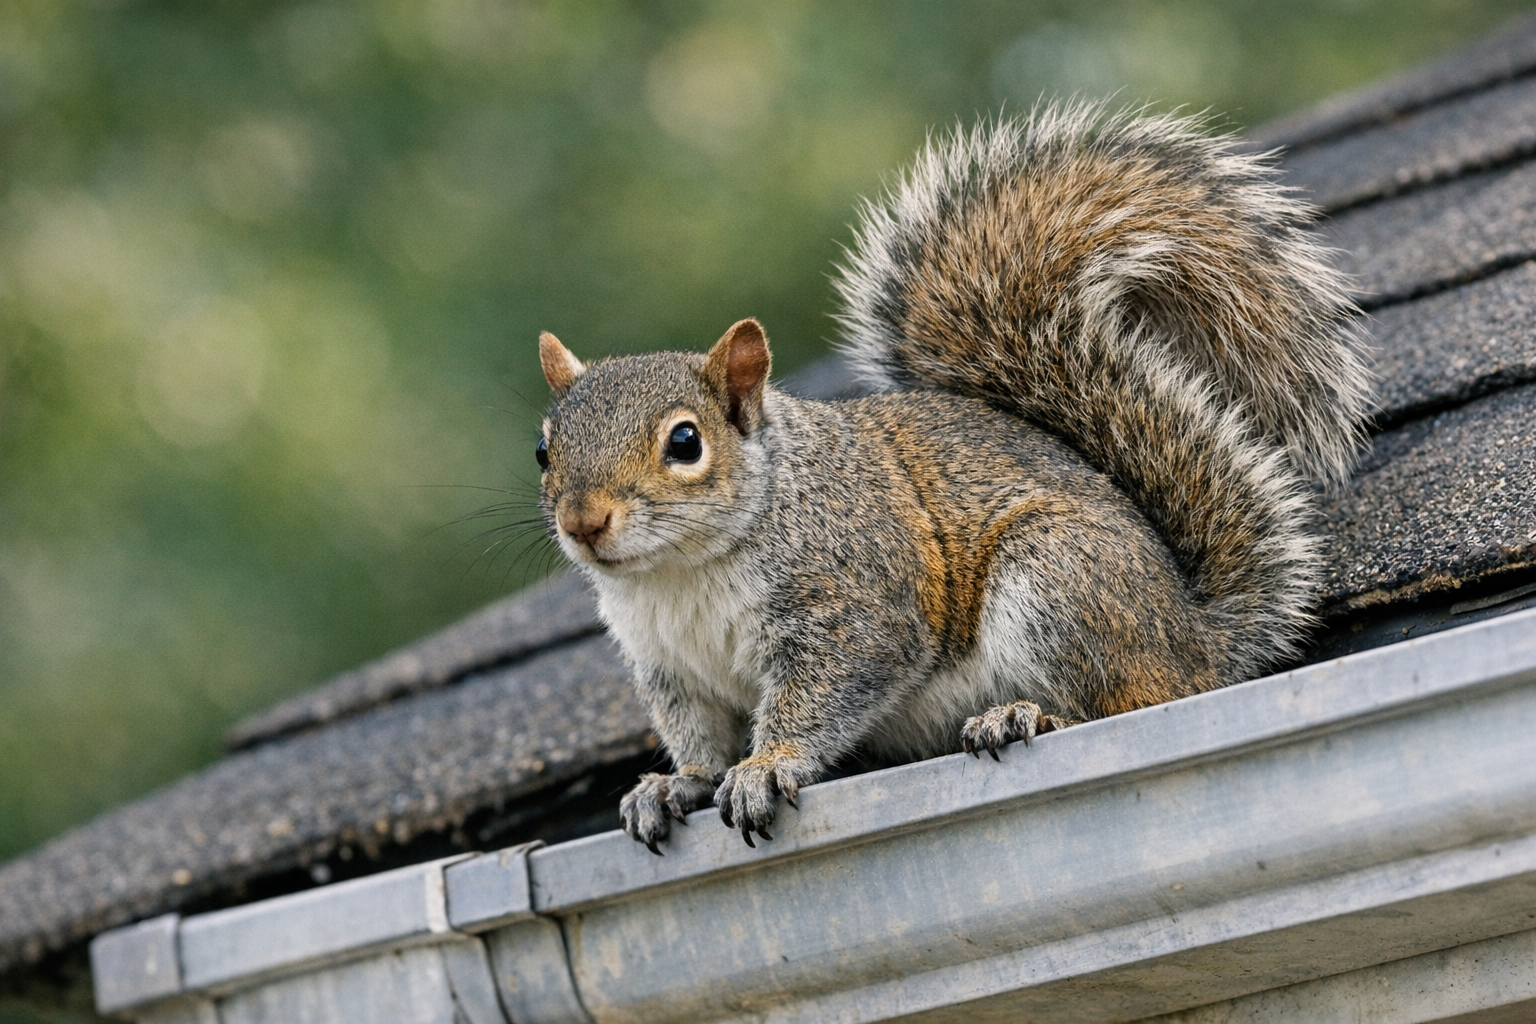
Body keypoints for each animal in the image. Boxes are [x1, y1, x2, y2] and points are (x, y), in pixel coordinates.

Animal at [533, 104, 1369, 852]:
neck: (679, 576)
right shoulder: (672, 671)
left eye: (685, 442)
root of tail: (1195, 638)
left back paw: (1025, 716)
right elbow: (698, 740)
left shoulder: (857, 608)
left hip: (1057, 580)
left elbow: (825, 692)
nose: (583, 523)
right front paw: (678, 784)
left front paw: (767, 765)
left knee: (1126, 702)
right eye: (544, 451)